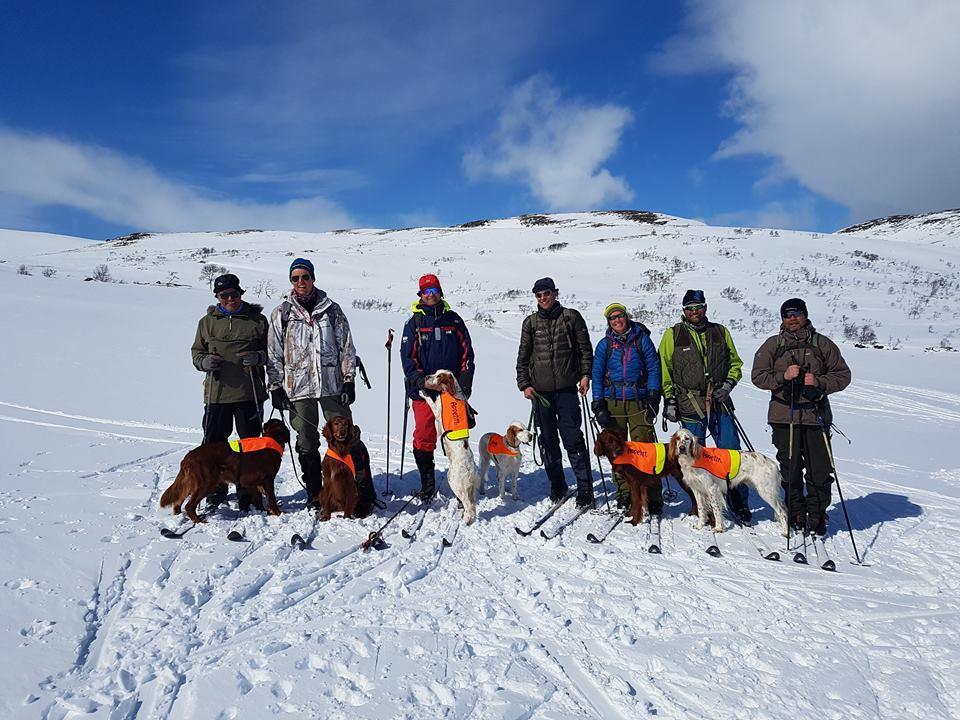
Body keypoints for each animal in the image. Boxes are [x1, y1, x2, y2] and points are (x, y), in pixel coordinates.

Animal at [160, 416, 288, 524]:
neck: (273, 438)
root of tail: (188, 457)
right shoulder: (268, 479)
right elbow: (272, 498)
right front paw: (278, 513)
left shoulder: (255, 482)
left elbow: (258, 498)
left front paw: (263, 511)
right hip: (206, 483)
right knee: (189, 505)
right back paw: (198, 521)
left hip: (191, 482)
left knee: (178, 500)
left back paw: (179, 515)